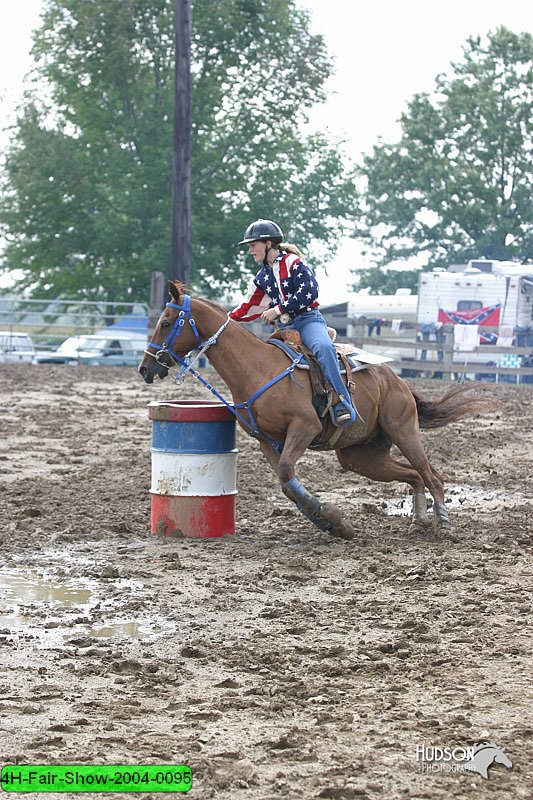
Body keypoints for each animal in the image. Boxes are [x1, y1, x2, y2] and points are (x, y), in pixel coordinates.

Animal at [139, 278, 488, 540]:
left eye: (166, 322)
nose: (145, 368)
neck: (257, 367)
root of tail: (397, 380)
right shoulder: (266, 441)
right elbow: (285, 481)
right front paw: (329, 521)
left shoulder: (305, 427)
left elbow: (286, 473)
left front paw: (328, 516)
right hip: (361, 457)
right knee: (414, 475)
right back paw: (419, 522)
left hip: (403, 431)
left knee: (431, 474)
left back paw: (443, 523)